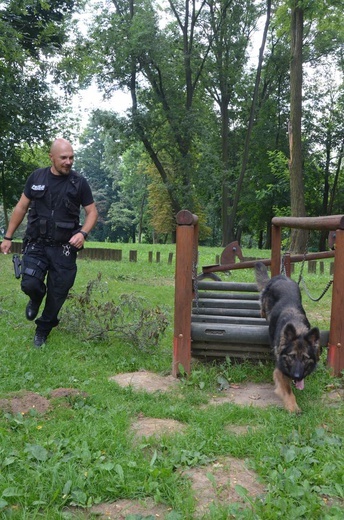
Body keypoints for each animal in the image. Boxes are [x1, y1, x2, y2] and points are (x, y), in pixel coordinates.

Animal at [254, 262, 322, 412]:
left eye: (305, 358)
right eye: (292, 356)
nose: (296, 376)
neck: (298, 328)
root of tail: (280, 277)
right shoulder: (280, 370)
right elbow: (288, 391)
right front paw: (293, 407)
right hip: (266, 305)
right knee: (262, 306)